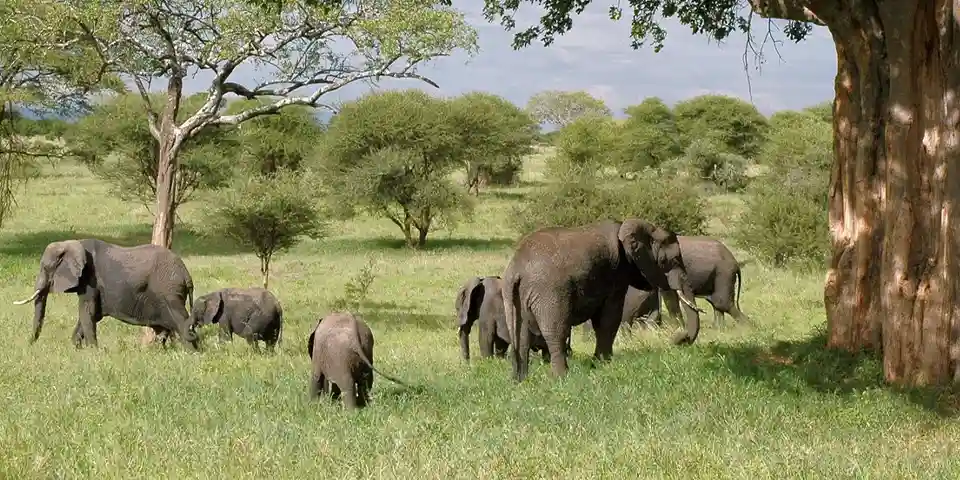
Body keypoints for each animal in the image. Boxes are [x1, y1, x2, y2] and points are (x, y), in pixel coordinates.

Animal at [12, 239, 198, 351]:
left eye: (45, 268)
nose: (30, 345)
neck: (73, 243)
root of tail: (186, 274)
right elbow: (91, 314)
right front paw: (78, 349)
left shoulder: (90, 279)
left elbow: (87, 311)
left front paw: (93, 351)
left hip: (169, 292)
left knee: (180, 320)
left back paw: (191, 352)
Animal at [501, 218, 704, 382]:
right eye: (673, 260)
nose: (679, 339)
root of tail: (516, 268)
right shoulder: (616, 273)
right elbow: (609, 318)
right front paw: (603, 364)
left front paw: (600, 364)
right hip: (549, 293)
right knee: (556, 331)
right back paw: (562, 378)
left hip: (516, 296)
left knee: (522, 335)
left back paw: (520, 381)